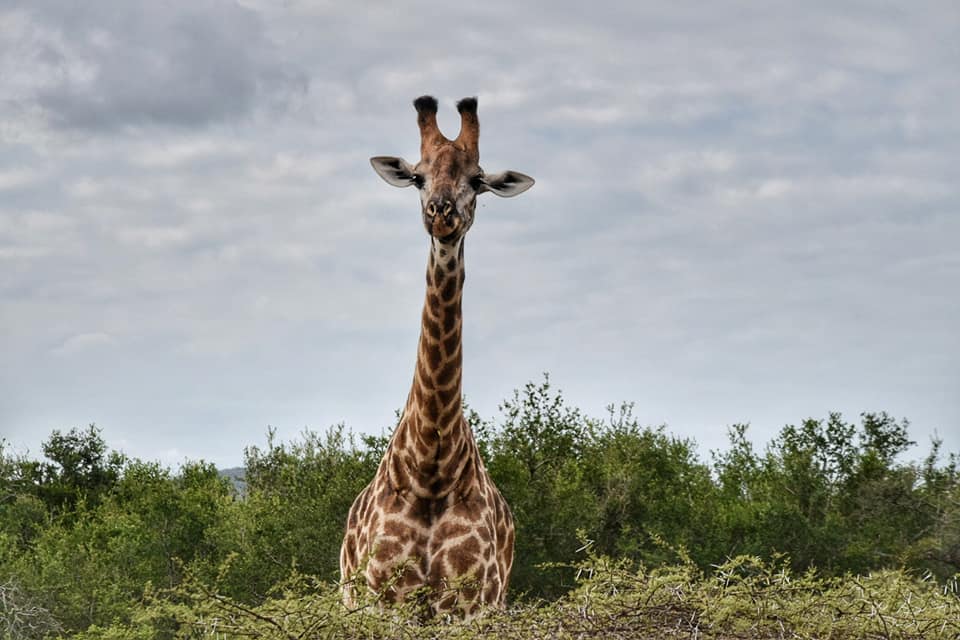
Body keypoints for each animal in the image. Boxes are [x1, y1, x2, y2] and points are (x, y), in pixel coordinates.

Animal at [338, 94, 532, 616]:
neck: (430, 467)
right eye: (418, 176)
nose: (441, 213)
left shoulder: (470, 604)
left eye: (478, 180)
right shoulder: (384, 600)